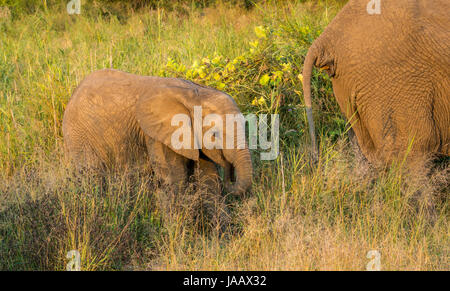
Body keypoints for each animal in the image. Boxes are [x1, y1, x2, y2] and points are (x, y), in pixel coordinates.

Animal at [62, 69, 253, 196]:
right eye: (215, 134)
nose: (230, 172)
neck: (197, 94)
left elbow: (209, 179)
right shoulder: (156, 135)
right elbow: (174, 179)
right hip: (79, 135)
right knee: (92, 177)